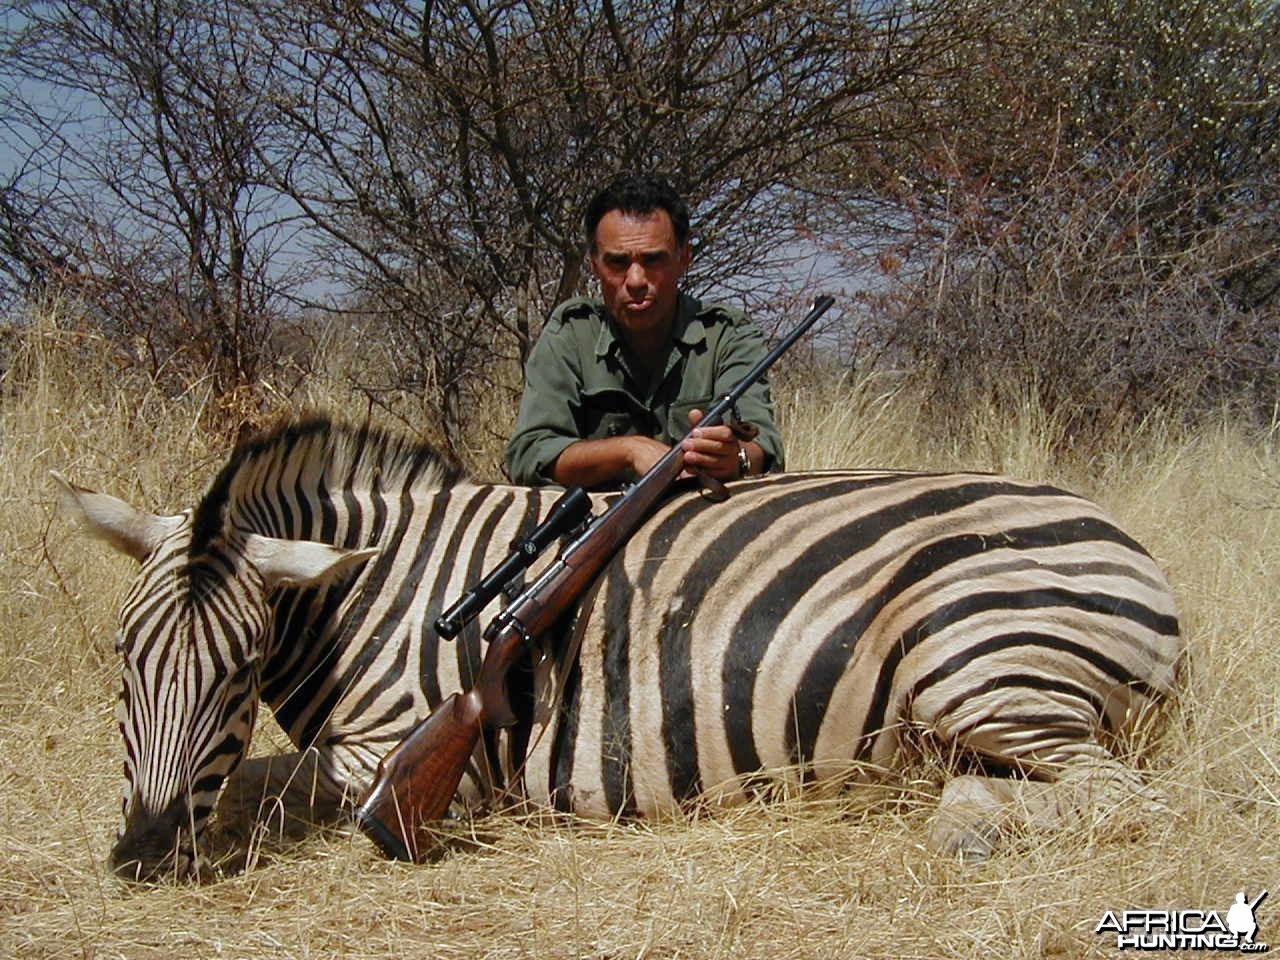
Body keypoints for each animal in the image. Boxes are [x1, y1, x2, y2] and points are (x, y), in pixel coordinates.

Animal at [57, 417, 1177, 885]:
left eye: (241, 669)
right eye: (121, 658)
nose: (142, 854)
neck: (375, 595)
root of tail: (1129, 540)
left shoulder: (411, 758)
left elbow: (304, 783)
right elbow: (267, 777)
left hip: (978, 663)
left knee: (1119, 798)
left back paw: (964, 831)